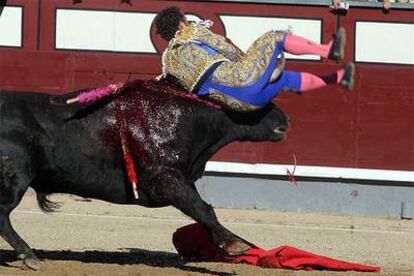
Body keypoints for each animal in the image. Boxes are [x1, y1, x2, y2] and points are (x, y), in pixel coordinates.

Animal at [0, 79, 290, 270]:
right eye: (259, 101)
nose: (285, 120)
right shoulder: (168, 179)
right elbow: (202, 208)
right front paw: (236, 244)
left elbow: (201, 209)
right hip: (14, 178)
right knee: (3, 216)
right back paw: (30, 256)